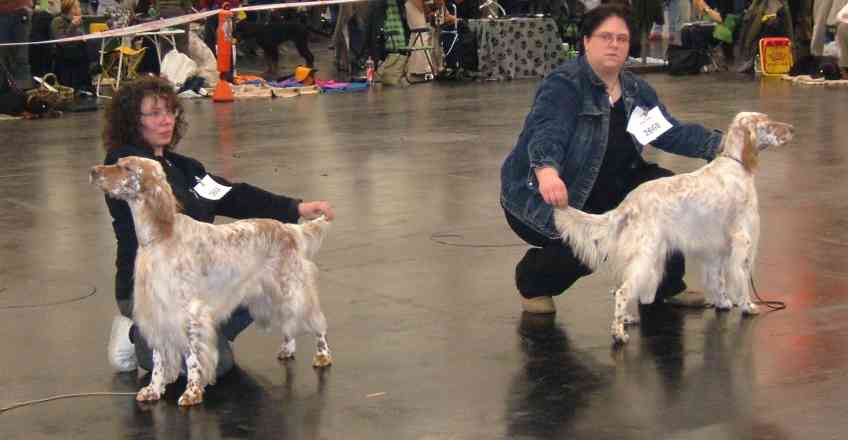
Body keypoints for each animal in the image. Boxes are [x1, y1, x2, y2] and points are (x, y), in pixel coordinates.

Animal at [90, 156, 332, 406]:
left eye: (126, 167)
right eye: (117, 162)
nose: (93, 171)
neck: (160, 235)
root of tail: (288, 229)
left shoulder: (189, 313)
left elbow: (192, 358)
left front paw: (192, 392)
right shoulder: (157, 311)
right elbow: (158, 359)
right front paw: (153, 389)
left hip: (291, 289)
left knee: (316, 322)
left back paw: (322, 355)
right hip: (271, 294)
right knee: (289, 323)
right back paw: (288, 348)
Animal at [554, 112, 794, 344]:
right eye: (767, 123)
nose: (792, 129)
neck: (736, 163)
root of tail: (628, 203)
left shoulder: (715, 246)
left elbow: (717, 279)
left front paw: (723, 302)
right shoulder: (743, 239)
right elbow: (741, 278)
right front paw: (748, 306)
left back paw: (628, 318)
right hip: (646, 255)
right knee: (622, 292)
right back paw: (619, 334)